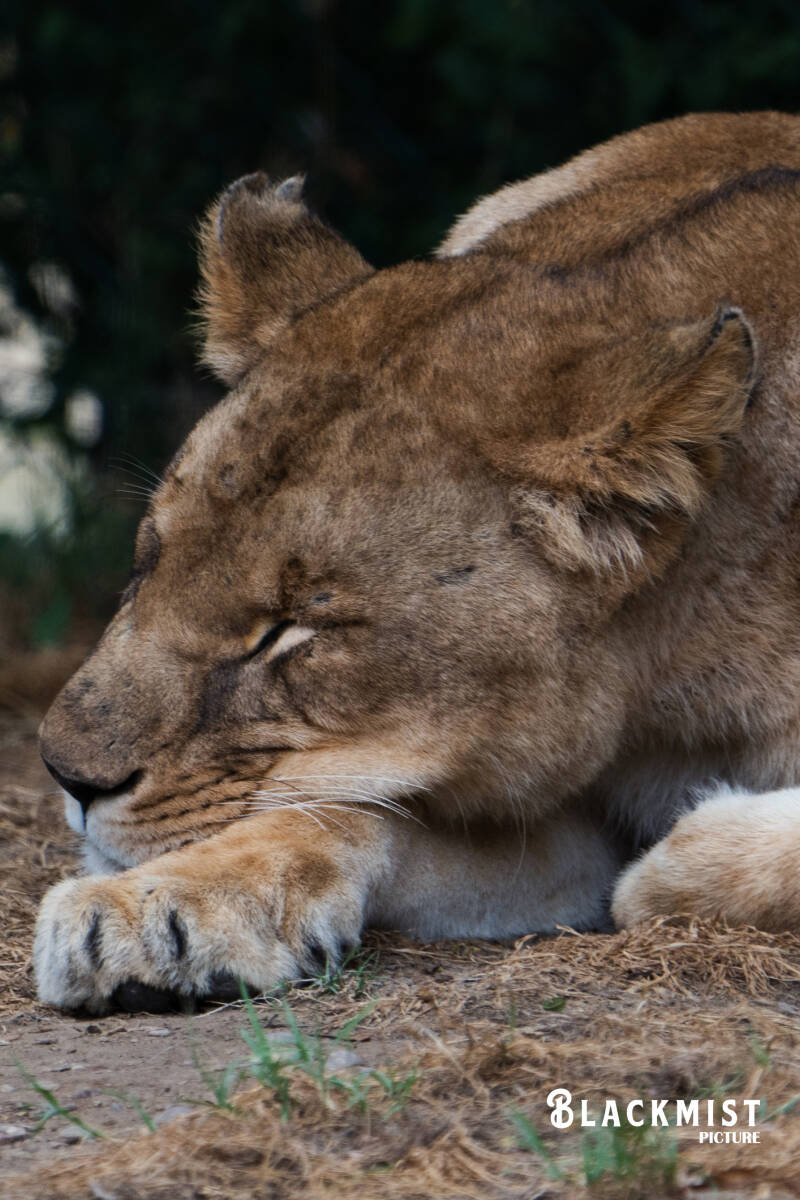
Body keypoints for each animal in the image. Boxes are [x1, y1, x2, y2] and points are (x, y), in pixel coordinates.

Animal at [33, 111, 800, 1013]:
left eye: (292, 631)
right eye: (149, 559)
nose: (66, 776)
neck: (670, 682)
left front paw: (677, 858)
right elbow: (355, 811)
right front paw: (156, 908)